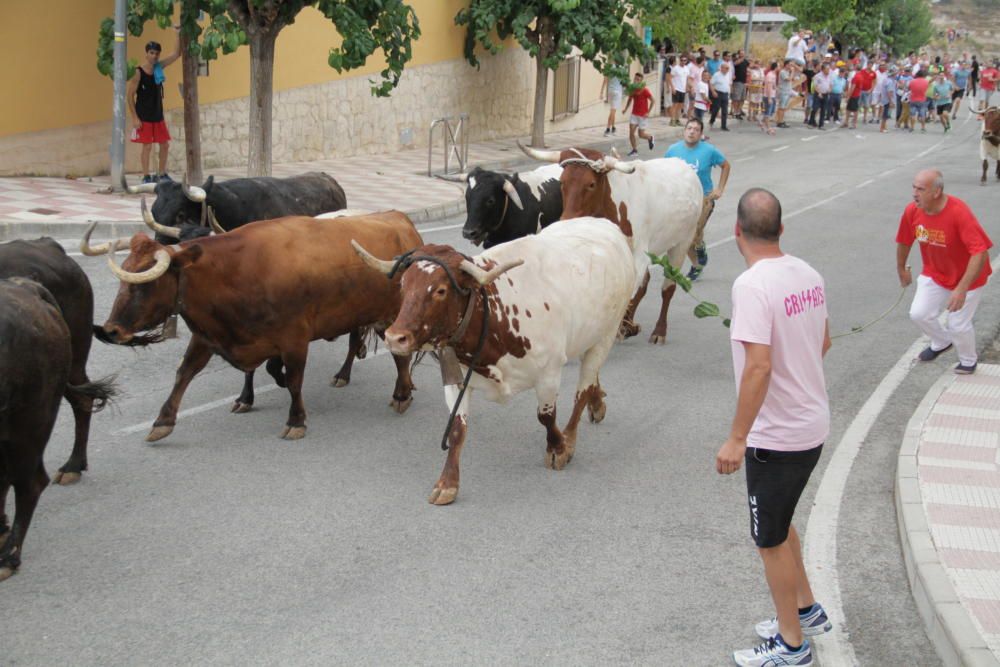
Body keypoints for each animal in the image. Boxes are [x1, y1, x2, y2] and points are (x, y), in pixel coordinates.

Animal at [80, 211, 420, 440]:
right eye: (124, 275)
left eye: (146, 284)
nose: (111, 330)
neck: (234, 272)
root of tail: (400, 219)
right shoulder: (208, 336)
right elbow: (185, 373)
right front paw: (163, 421)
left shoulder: (294, 338)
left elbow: (293, 380)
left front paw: (296, 420)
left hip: (392, 319)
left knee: (399, 357)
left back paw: (402, 393)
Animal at [354, 219, 632, 506]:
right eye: (403, 285)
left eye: (441, 290)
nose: (394, 337)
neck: (499, 314)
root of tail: (603, 223)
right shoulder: (456, 380)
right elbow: (456, 429)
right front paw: (448, 483)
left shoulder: (549, 373)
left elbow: (546, 416)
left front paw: (558, 448)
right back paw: (597, 404)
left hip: (607, 334)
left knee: (582, 391)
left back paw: (572, 435)